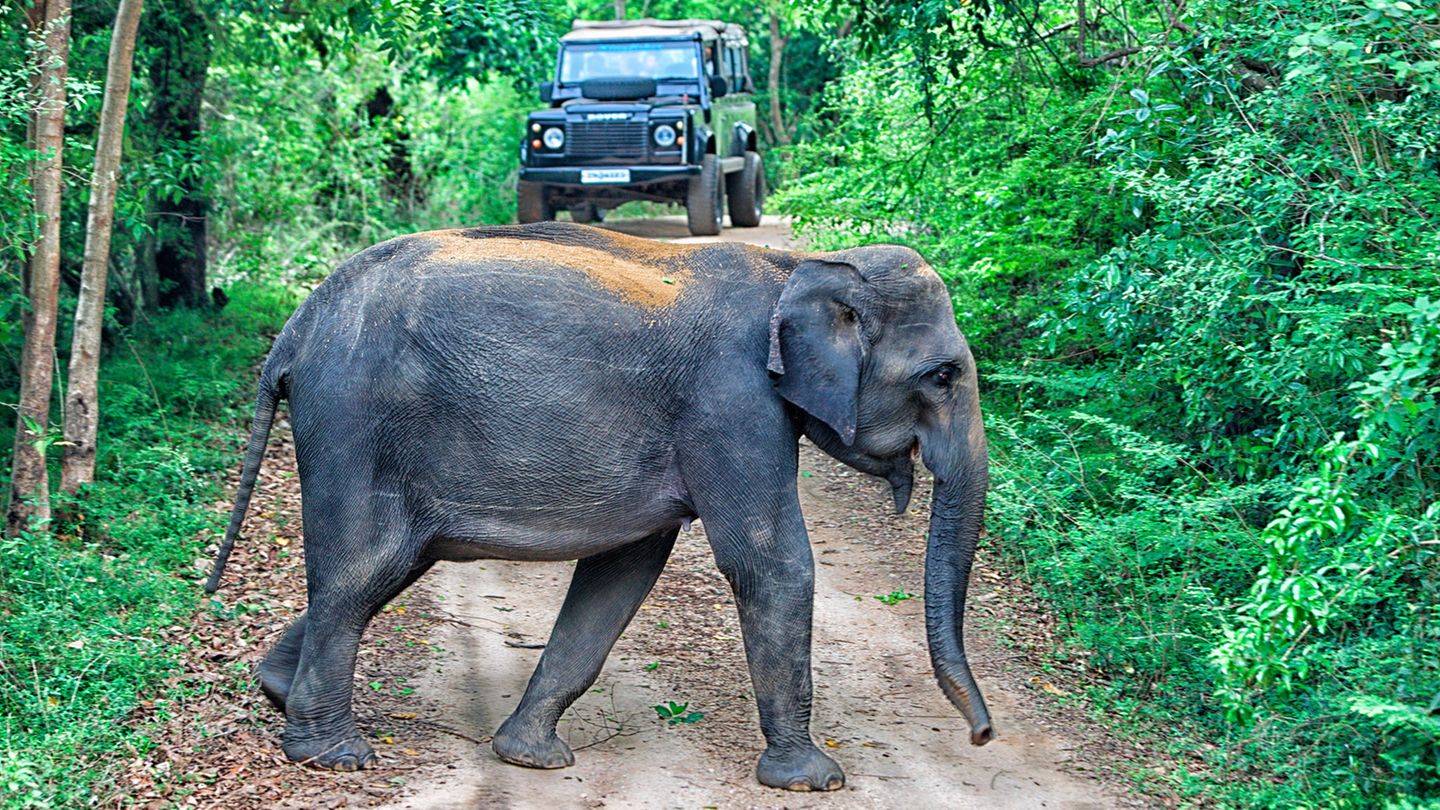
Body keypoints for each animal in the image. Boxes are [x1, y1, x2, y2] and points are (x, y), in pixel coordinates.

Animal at [205, 220, 990, 789]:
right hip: (353, 423)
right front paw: (812, 780)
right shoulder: (731, 401)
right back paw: (334, 756)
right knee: (361, 573)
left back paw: (280, 691)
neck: (796, 262)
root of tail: (296, 328)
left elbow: (623, 571)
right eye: (942, 375)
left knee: (384, 571)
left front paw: (529, 757)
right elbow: (770, 563)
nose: (982, 735)